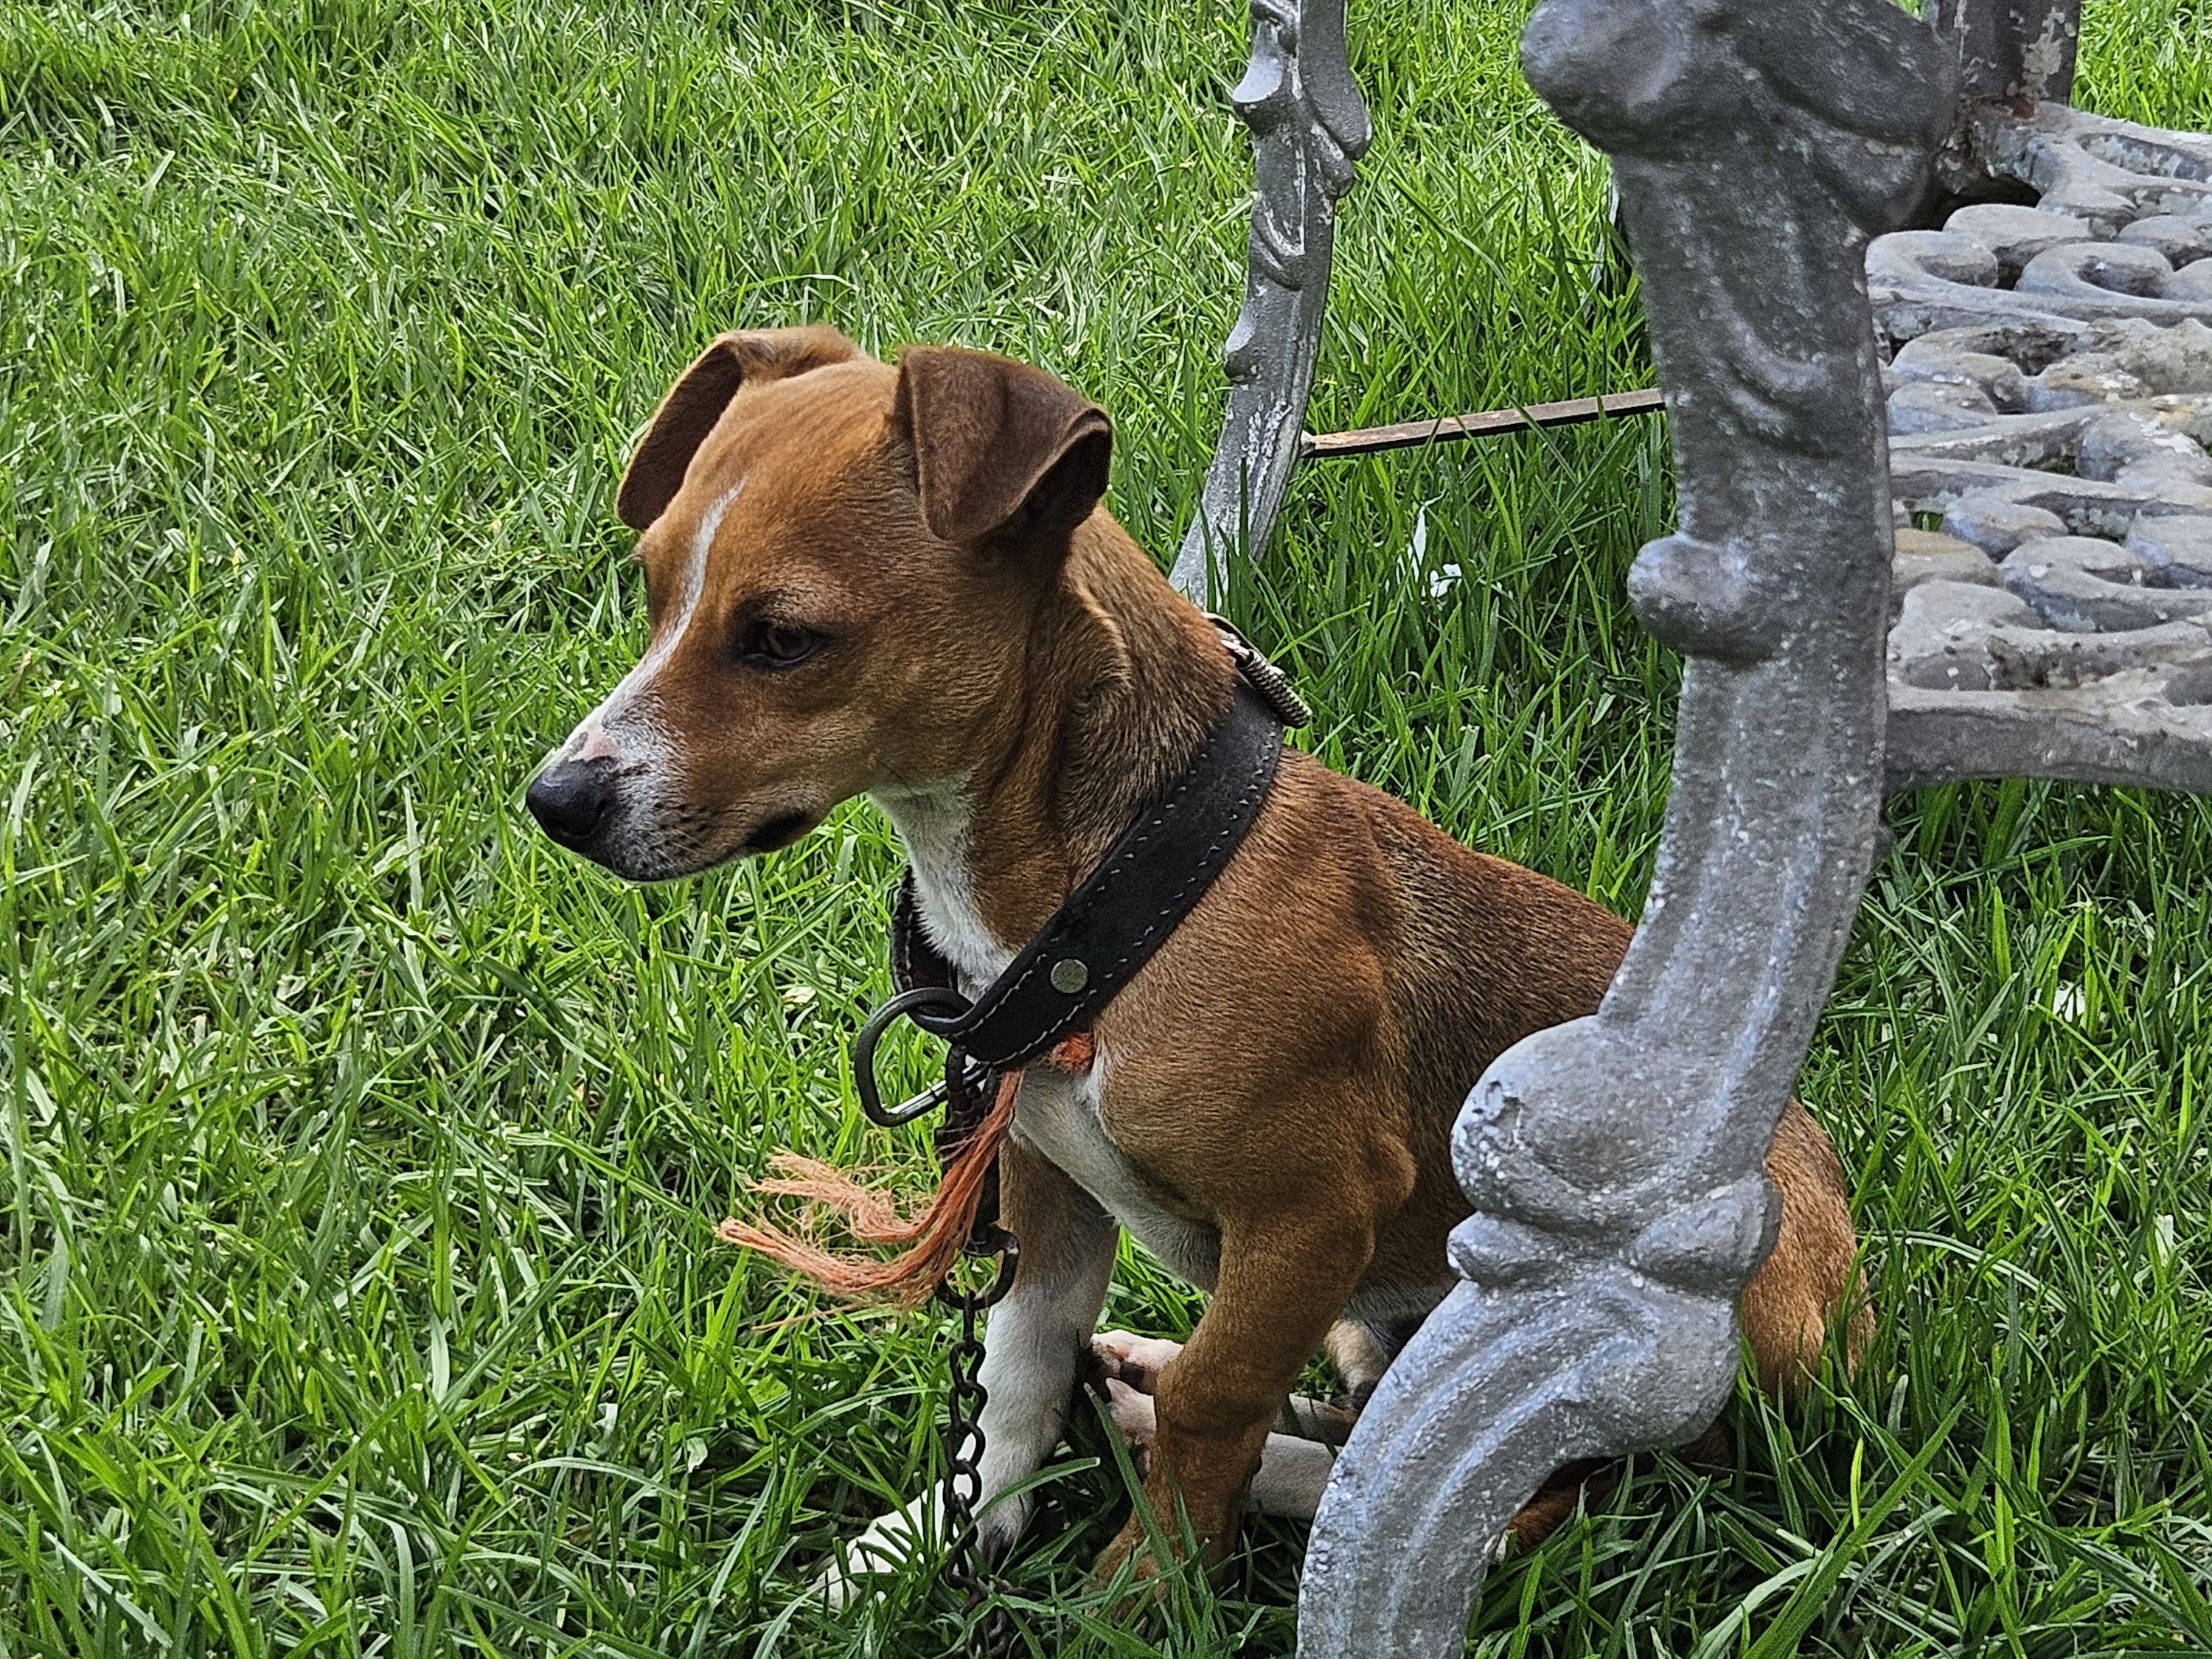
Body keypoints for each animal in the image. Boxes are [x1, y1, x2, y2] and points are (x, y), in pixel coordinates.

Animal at [525, 326, 1871, 1594]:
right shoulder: (1045, 1193)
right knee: (1370, 1419)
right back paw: (1136, 1383)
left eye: (783, 638)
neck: (1119, 898)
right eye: (652, 590)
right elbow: (1016, 1373)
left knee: (1536, 1496)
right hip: (1380, 1321)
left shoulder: (1312, 1220)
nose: (555, 802)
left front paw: (1149, 1586)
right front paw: (942, 1533)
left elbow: (1215, 1404)